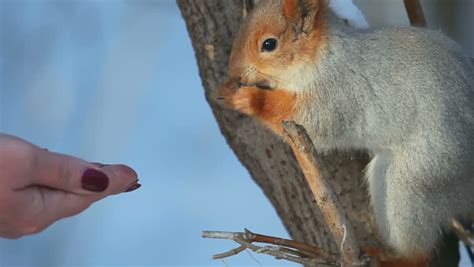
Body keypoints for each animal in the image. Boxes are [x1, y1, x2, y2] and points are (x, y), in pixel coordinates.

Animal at [218, 0, 474, 266]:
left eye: (269, 44)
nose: (235, 73)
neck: (323, 57)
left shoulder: (337, 93)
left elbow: (311, 121)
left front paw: (247, 98)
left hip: (419, 176)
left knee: (420, 252)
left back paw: (394, 258)